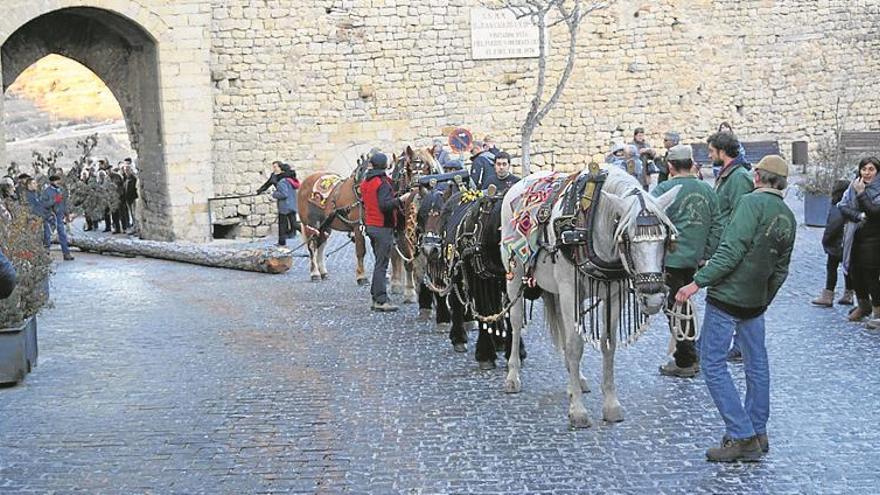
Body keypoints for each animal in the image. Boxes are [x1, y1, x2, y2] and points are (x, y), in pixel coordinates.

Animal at [498, 165, 676, 428]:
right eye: (626, 238)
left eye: (665, 239)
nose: (652, 298)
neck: (589, 224)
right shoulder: (569, 289)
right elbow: (575, 347)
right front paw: (578, 411)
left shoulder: (614, 294)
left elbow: (607, 345)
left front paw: (611, 405)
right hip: (515, 276)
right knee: (517, 321)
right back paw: (513, 375)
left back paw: (576, 381)